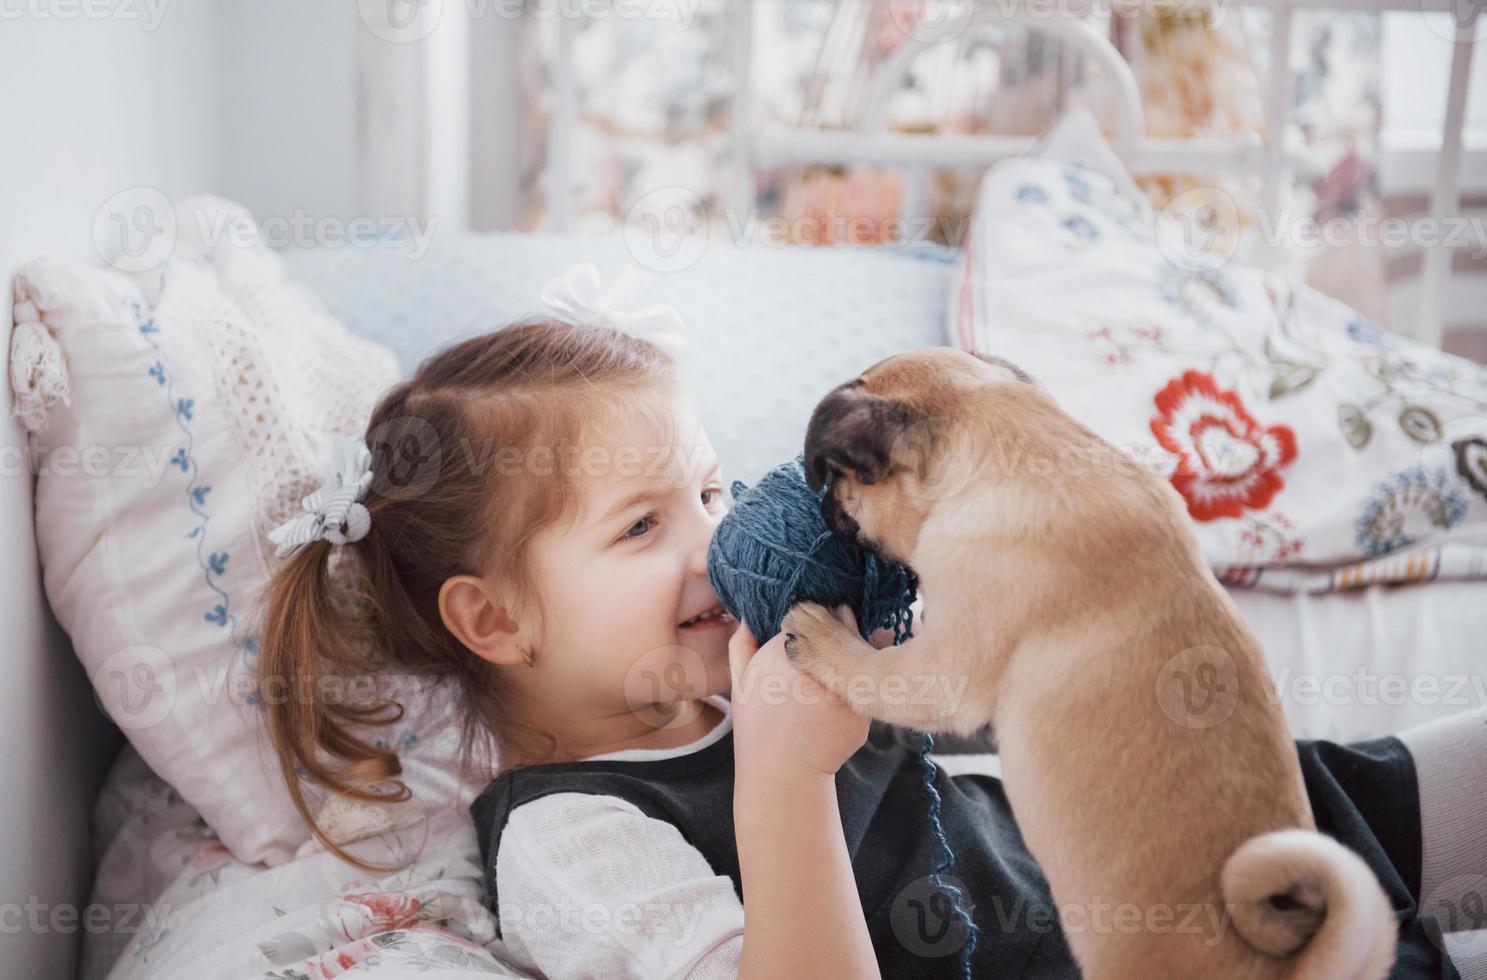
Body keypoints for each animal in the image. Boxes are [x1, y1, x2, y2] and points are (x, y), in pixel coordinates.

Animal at [779, 349, 1391, 975]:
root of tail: (1284, 964)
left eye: (836, 475)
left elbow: (873, 674)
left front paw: (823, 638)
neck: (1015, 443)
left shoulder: (944, 669)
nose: (819, 500)